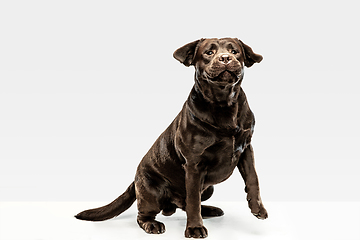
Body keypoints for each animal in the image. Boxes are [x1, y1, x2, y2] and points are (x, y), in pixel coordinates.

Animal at [75, 37, 268, 238]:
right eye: (209, 52)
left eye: (234, 51)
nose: (225, 58)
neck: (224, 103)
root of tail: (135, 181)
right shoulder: (193, 165)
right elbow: (193, 200)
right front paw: (194, 227)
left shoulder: (246, 149)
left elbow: (253, 178)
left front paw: (258, 208)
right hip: (151, 192)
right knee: (145, 214)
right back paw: (152, 224)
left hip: (209, 188)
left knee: (187, 204)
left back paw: (209, 209)